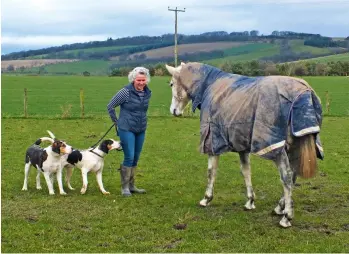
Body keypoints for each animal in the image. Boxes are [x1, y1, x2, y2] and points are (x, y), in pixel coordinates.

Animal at [164, 62, 322, 228]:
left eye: (171, 84)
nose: (173, 111)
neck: (210, 84)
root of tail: (305, 92)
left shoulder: (212, 141)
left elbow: (211, 171)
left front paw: (206, 199)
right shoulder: (241, 144)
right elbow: (246, 171)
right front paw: (250, 201)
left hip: (279, 149)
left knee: (287, 177)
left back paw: (286, 216)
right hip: (296, 145)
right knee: (294, 175)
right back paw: (279, 207)